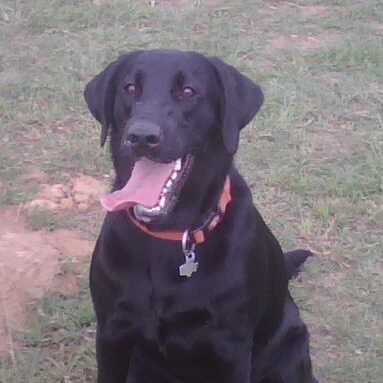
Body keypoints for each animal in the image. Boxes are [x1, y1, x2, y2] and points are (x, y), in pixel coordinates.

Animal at [85, 49, 318, 382]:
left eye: (188, 91)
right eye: (130, 88)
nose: (141, 136)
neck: (170, 234)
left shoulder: (230, 349)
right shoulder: (112, 332)